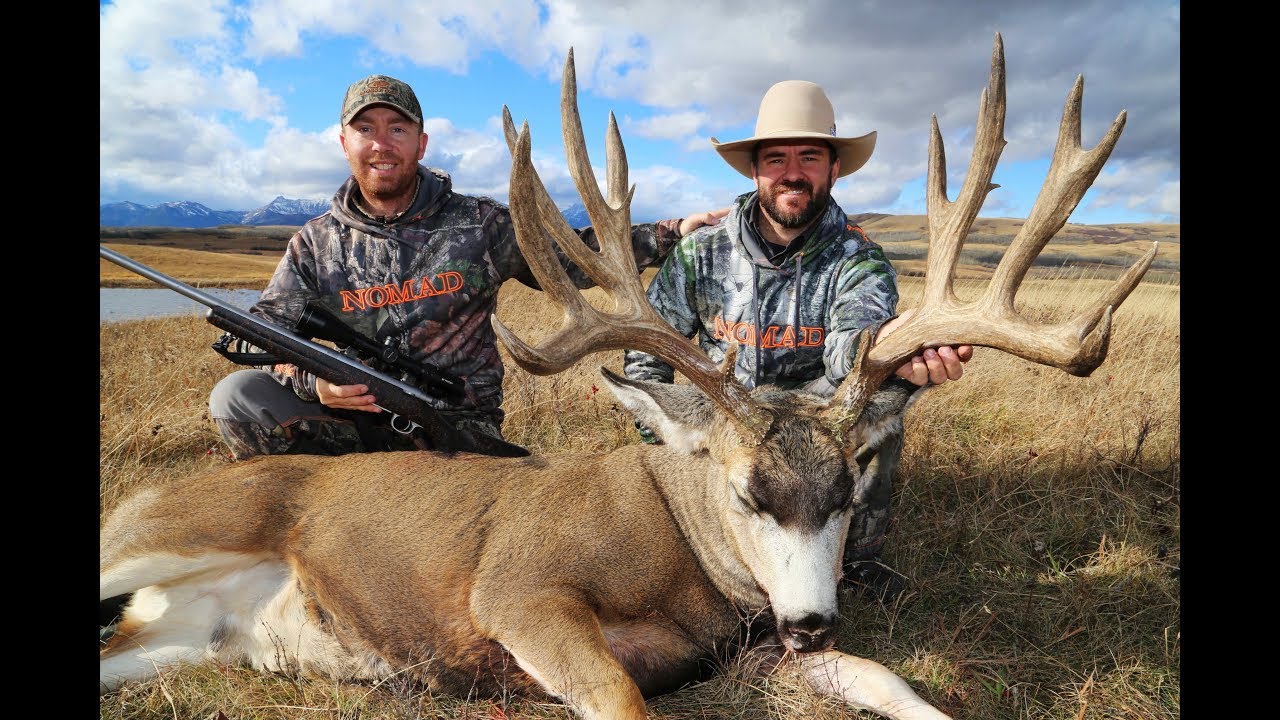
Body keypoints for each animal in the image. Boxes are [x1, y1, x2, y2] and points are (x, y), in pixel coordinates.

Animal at [104, 36, 1157, 717]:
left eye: (851, 484)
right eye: (744, 492)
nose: (813, 620)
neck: (682, 556)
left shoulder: (753, 653)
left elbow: (891, 681)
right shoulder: (520, 592)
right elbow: (617, 696)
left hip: (169, 643)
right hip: (158, 529)